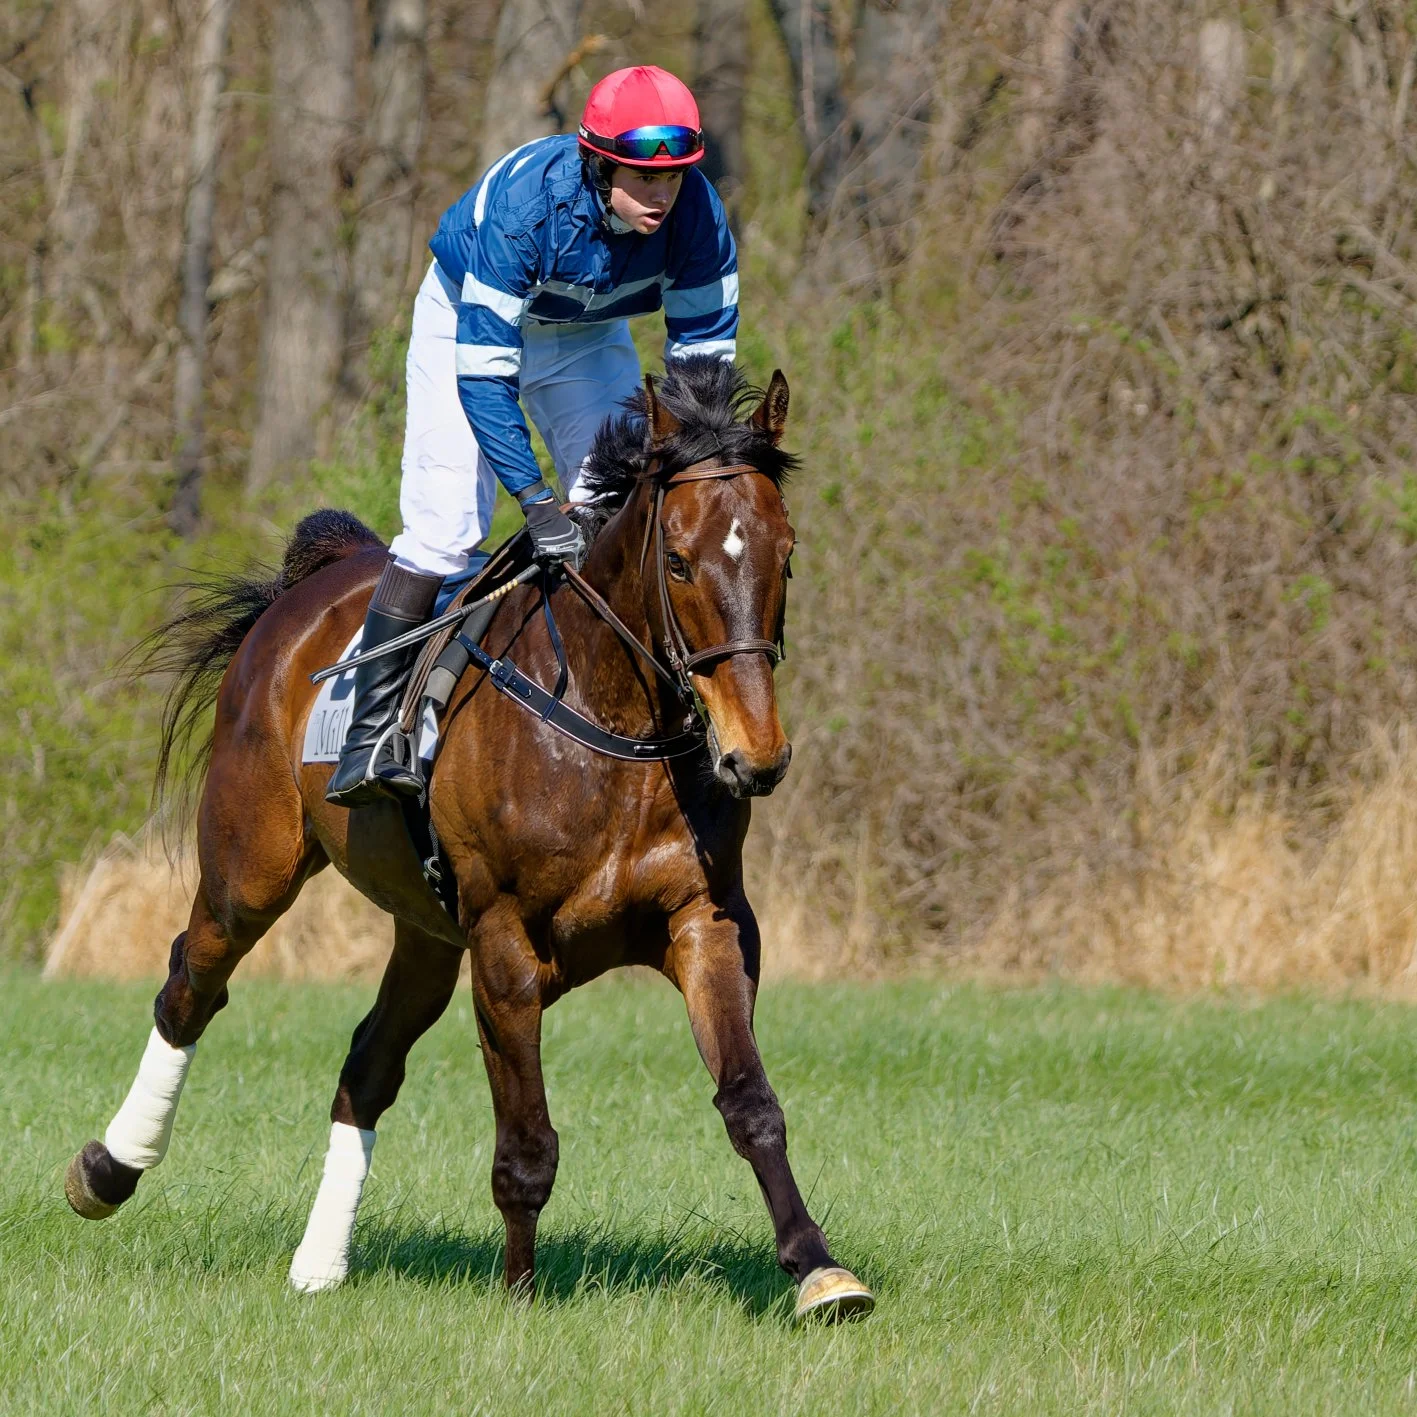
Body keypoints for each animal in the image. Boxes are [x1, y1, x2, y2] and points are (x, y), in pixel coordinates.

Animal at [63, 356, 874, 1323]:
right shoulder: (503, 940)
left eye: (786, 552)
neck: (612, 725)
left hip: (423, 927)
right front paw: (520, 1293)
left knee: (368, 1061)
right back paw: (107, 1169)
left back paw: (318, 1263)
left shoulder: (704, 920)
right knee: (191, 982)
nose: (755, 754)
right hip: (250, 866)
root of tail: (308, 587)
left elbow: (750, 1100)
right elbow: (526, 1142)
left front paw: (820, 1270)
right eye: (678, 559)